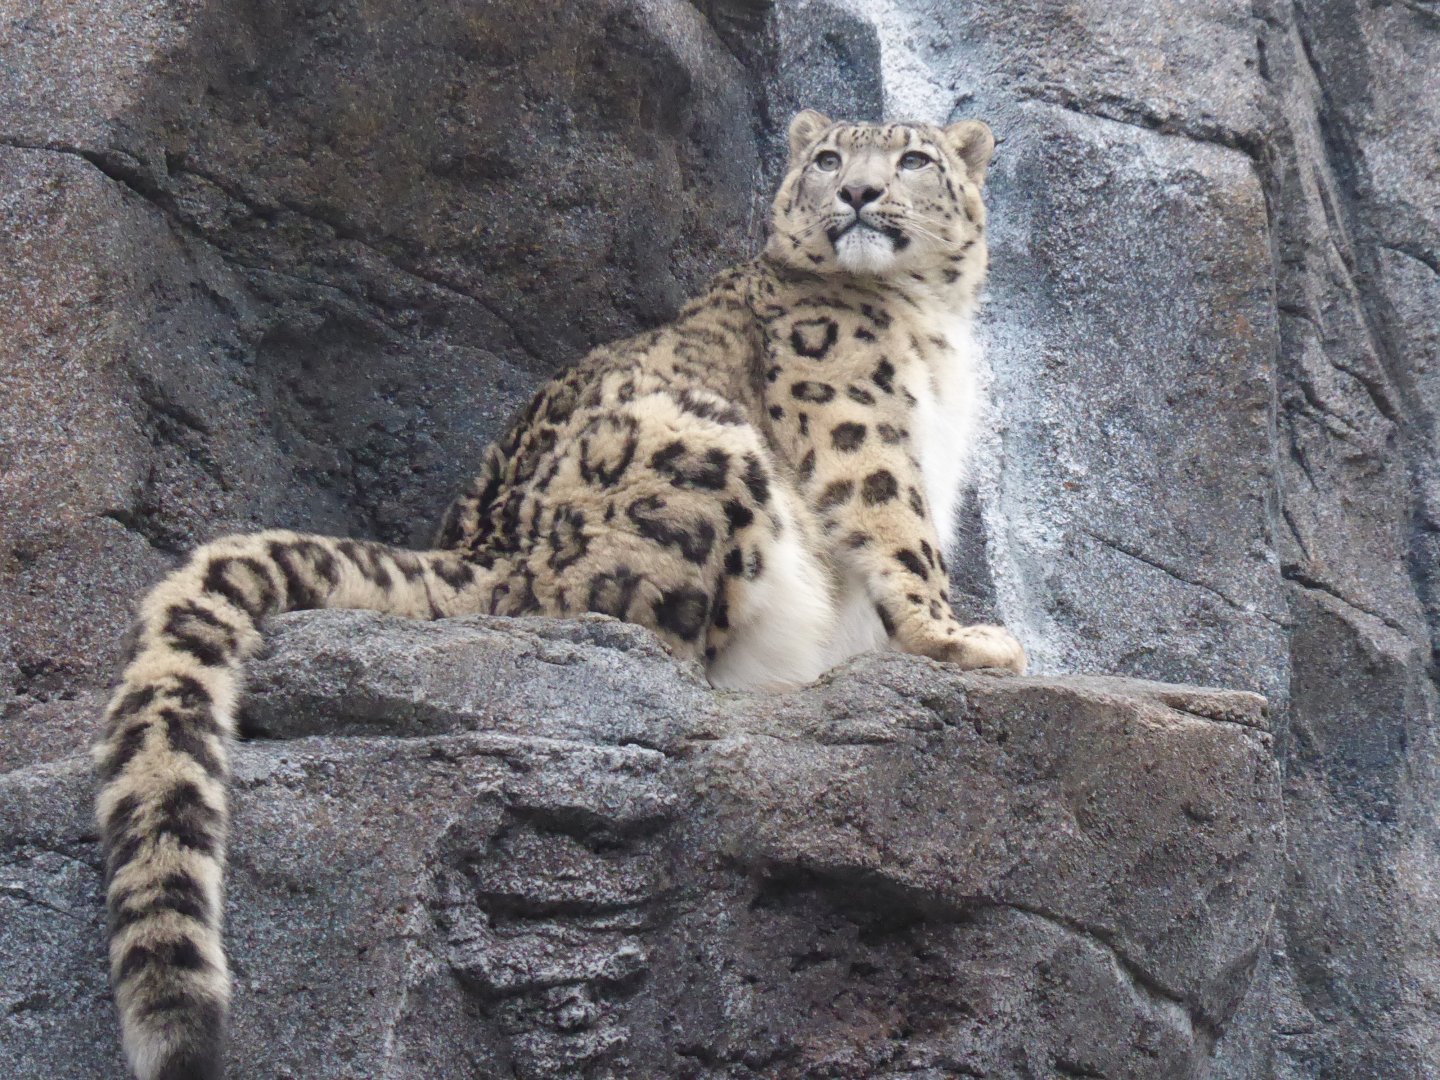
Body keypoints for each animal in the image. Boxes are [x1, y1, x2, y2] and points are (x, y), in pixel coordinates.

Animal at [94, 109, 1025, 1080]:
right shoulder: (856, 422)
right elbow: (898, 530)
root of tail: (489, 551)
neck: (929, 327)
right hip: (700, 444)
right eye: (830, 158)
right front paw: (963, 639)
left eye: (912, 158)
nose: (859, 193)